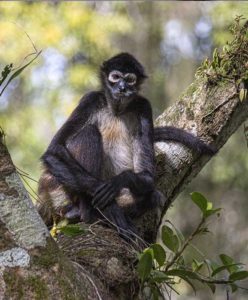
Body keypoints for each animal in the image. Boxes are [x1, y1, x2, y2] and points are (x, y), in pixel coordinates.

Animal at [37, 53, 215, 237]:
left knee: (154, 197)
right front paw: (110, 205)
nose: (122, 87)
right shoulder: (91, 99)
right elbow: (54, 150)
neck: (117, 110)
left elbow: (146, 177)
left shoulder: (144, 106)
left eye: (130, 79)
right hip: (56, 188)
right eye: (115, 77)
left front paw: (118, 181)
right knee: (89, 132)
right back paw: (88, 213)